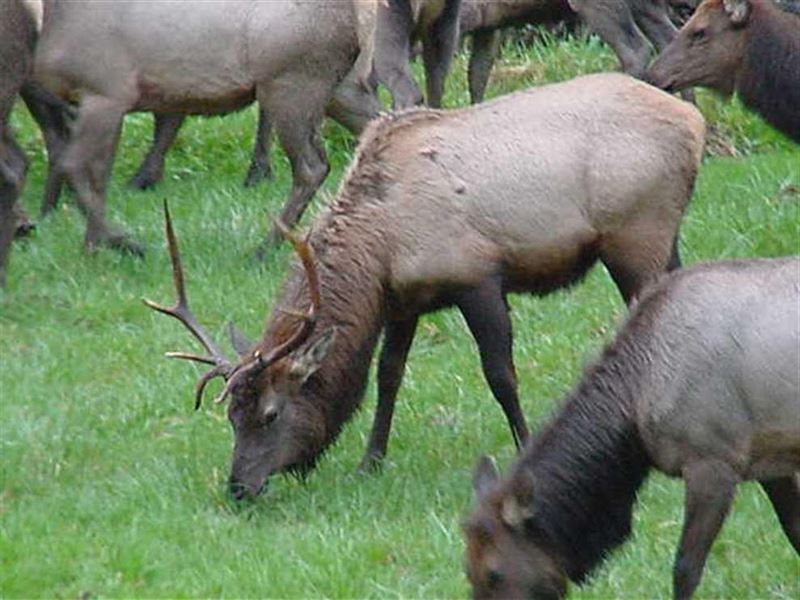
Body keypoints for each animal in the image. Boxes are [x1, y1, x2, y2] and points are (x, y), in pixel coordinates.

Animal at [31, 0, 378, 254]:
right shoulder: (105, 102)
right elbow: (98, 175)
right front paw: (93, 245)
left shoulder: (106, 92)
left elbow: (72, 165)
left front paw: (121, 242)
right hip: (339, 89)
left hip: (290, 84)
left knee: (312, 166)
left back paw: (264, 249)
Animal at [145, 75, 708, 502]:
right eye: (230, 416)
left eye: (269, 413)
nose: (239, 487)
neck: (382, 245)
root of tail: (696, 123)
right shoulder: (403, 301)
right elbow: (389, 375)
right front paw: (370, 461)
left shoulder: (477, 276)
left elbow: (500, 375)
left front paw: (524, 445)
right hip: (661, 239)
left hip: (636, 234)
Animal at [462, 255, 800, 596]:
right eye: (467, 570)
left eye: (494, 574)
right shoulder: (766, 457)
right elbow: (794, 532)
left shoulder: (713, 461)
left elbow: (685, 570)